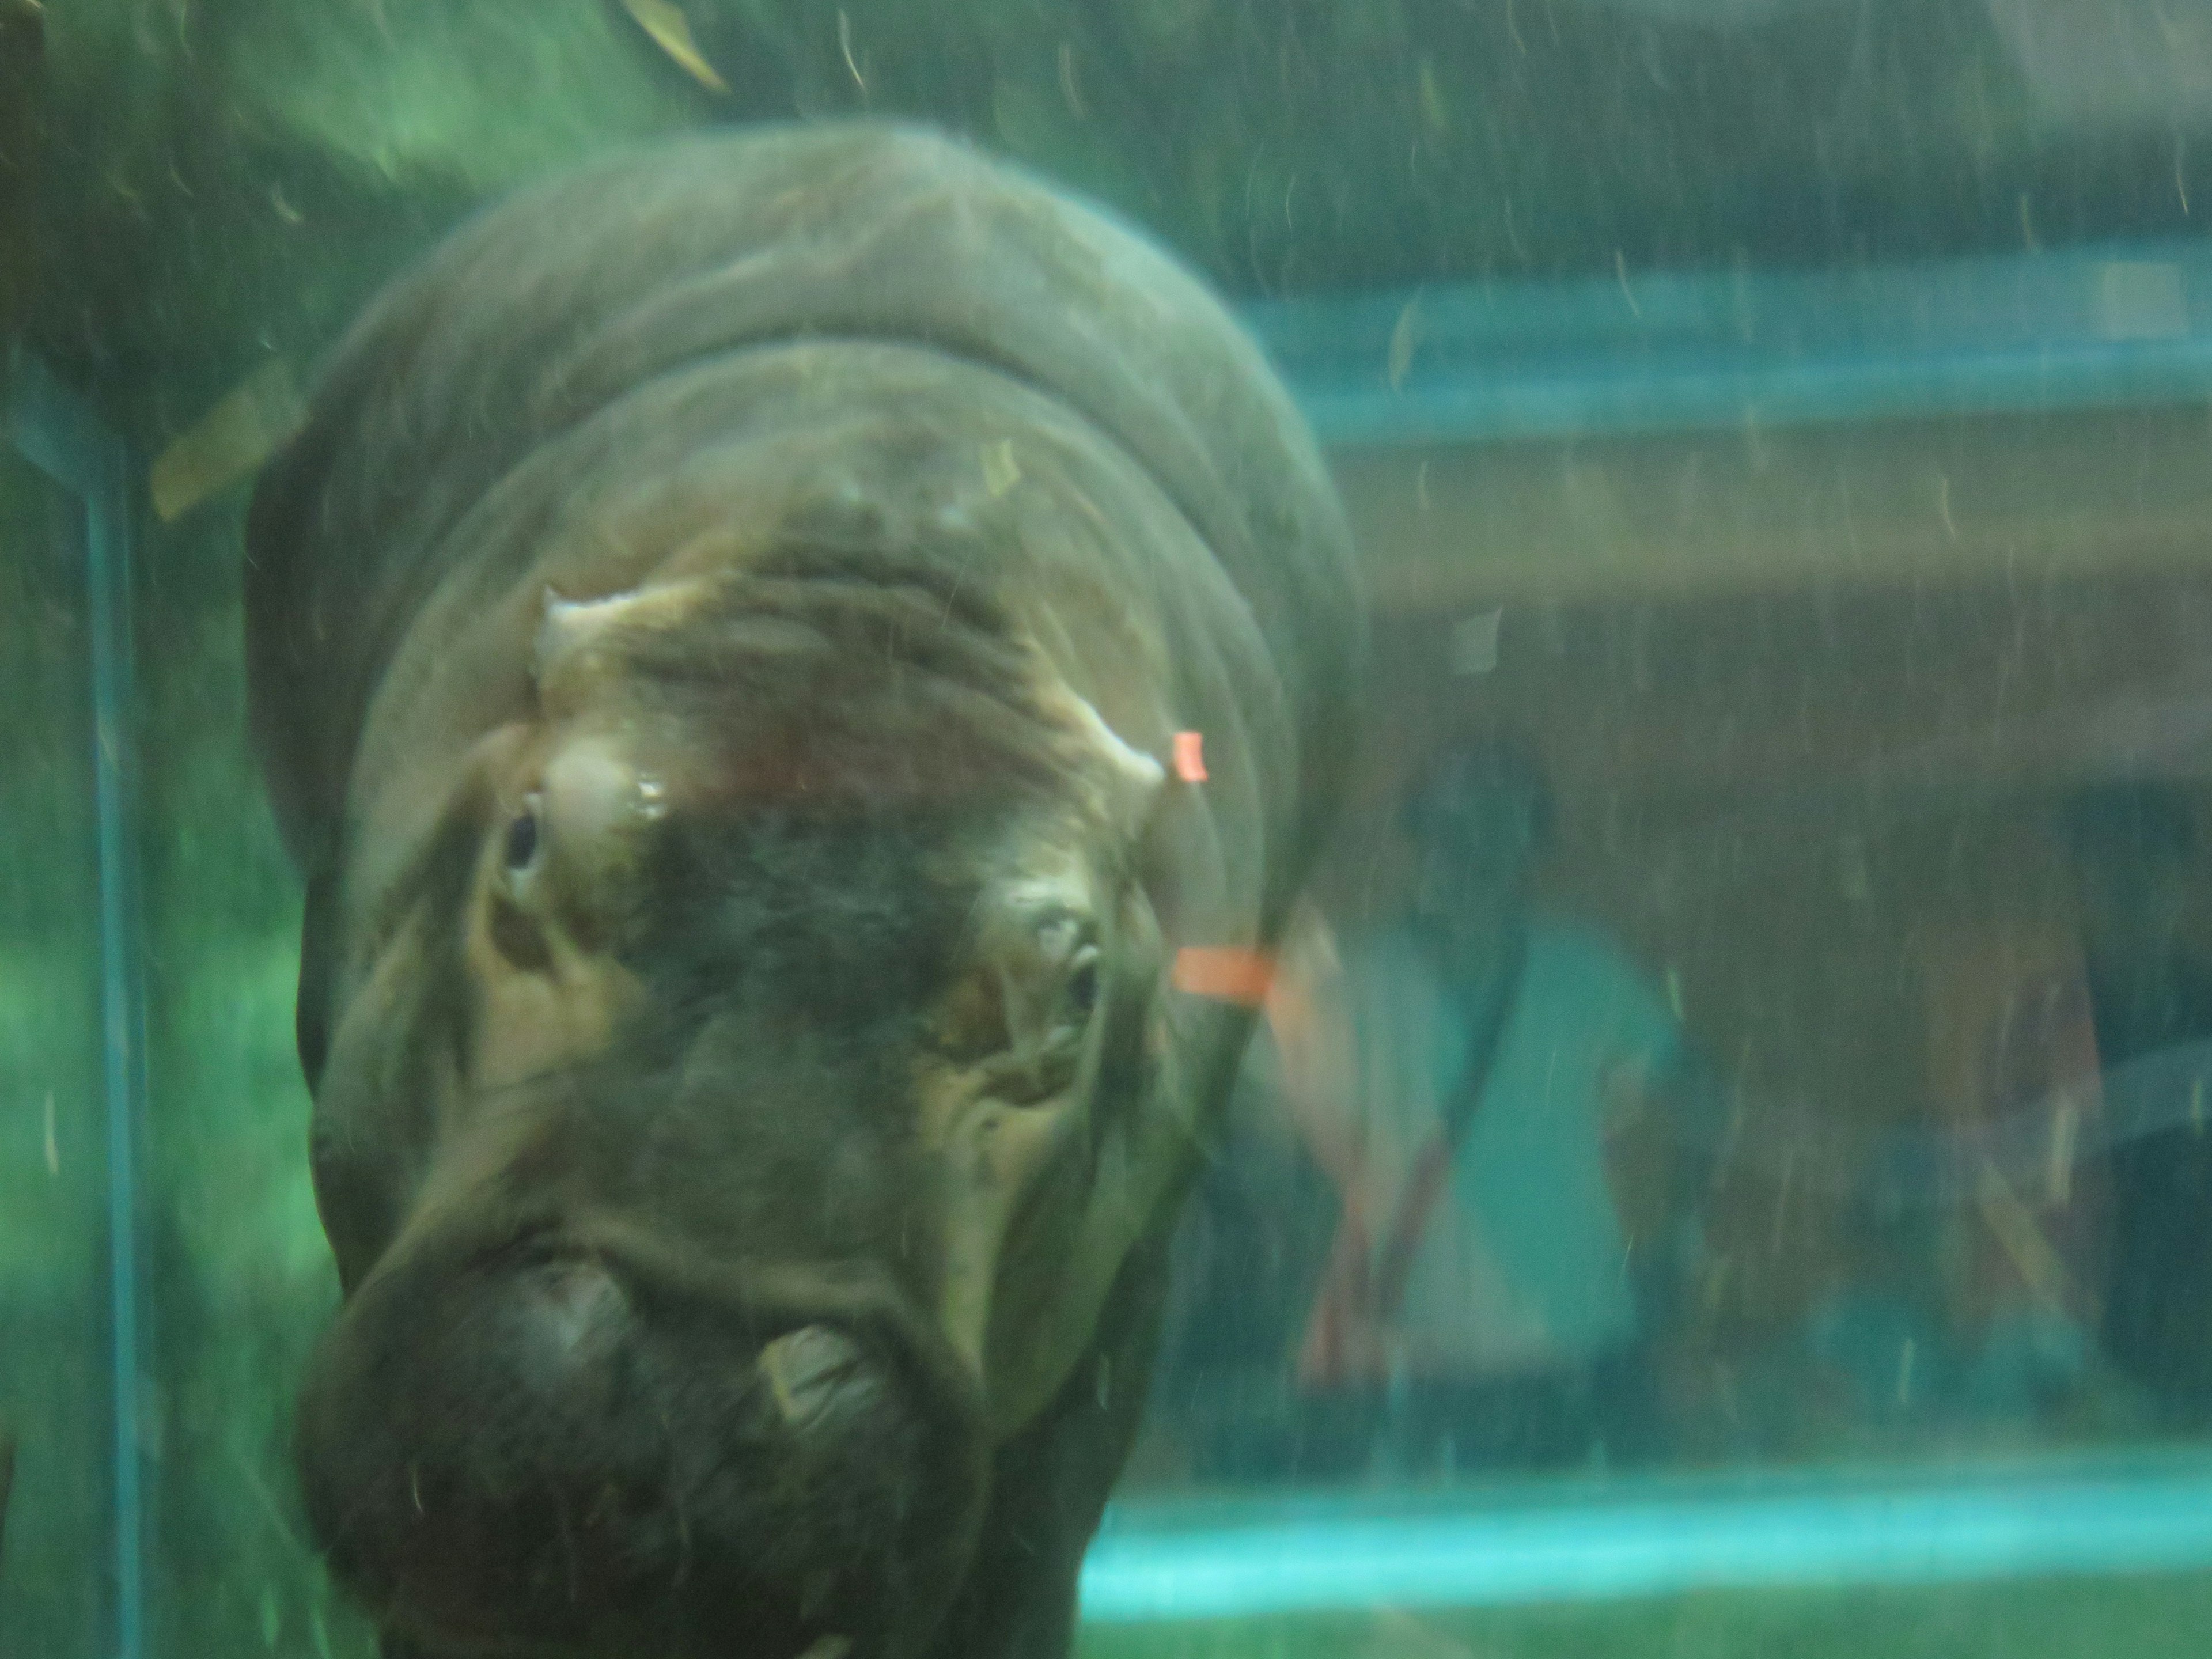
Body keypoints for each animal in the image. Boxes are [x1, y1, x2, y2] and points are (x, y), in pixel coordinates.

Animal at [237, 123, 1344, 1659]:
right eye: (525, 838)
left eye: (1078, 988)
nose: (680, 1391)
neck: (883, 589)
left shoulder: (1117, 1297)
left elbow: (1029, 1539)